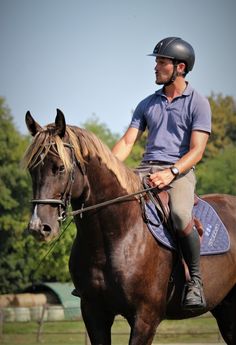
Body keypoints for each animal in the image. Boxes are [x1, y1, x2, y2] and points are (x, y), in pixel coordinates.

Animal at [23, 109, 236, 342]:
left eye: (60, 168)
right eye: (32, 170)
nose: (38, 227)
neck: (117, 236)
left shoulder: (145, 318)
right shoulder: (94, 314)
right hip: (226, 310)